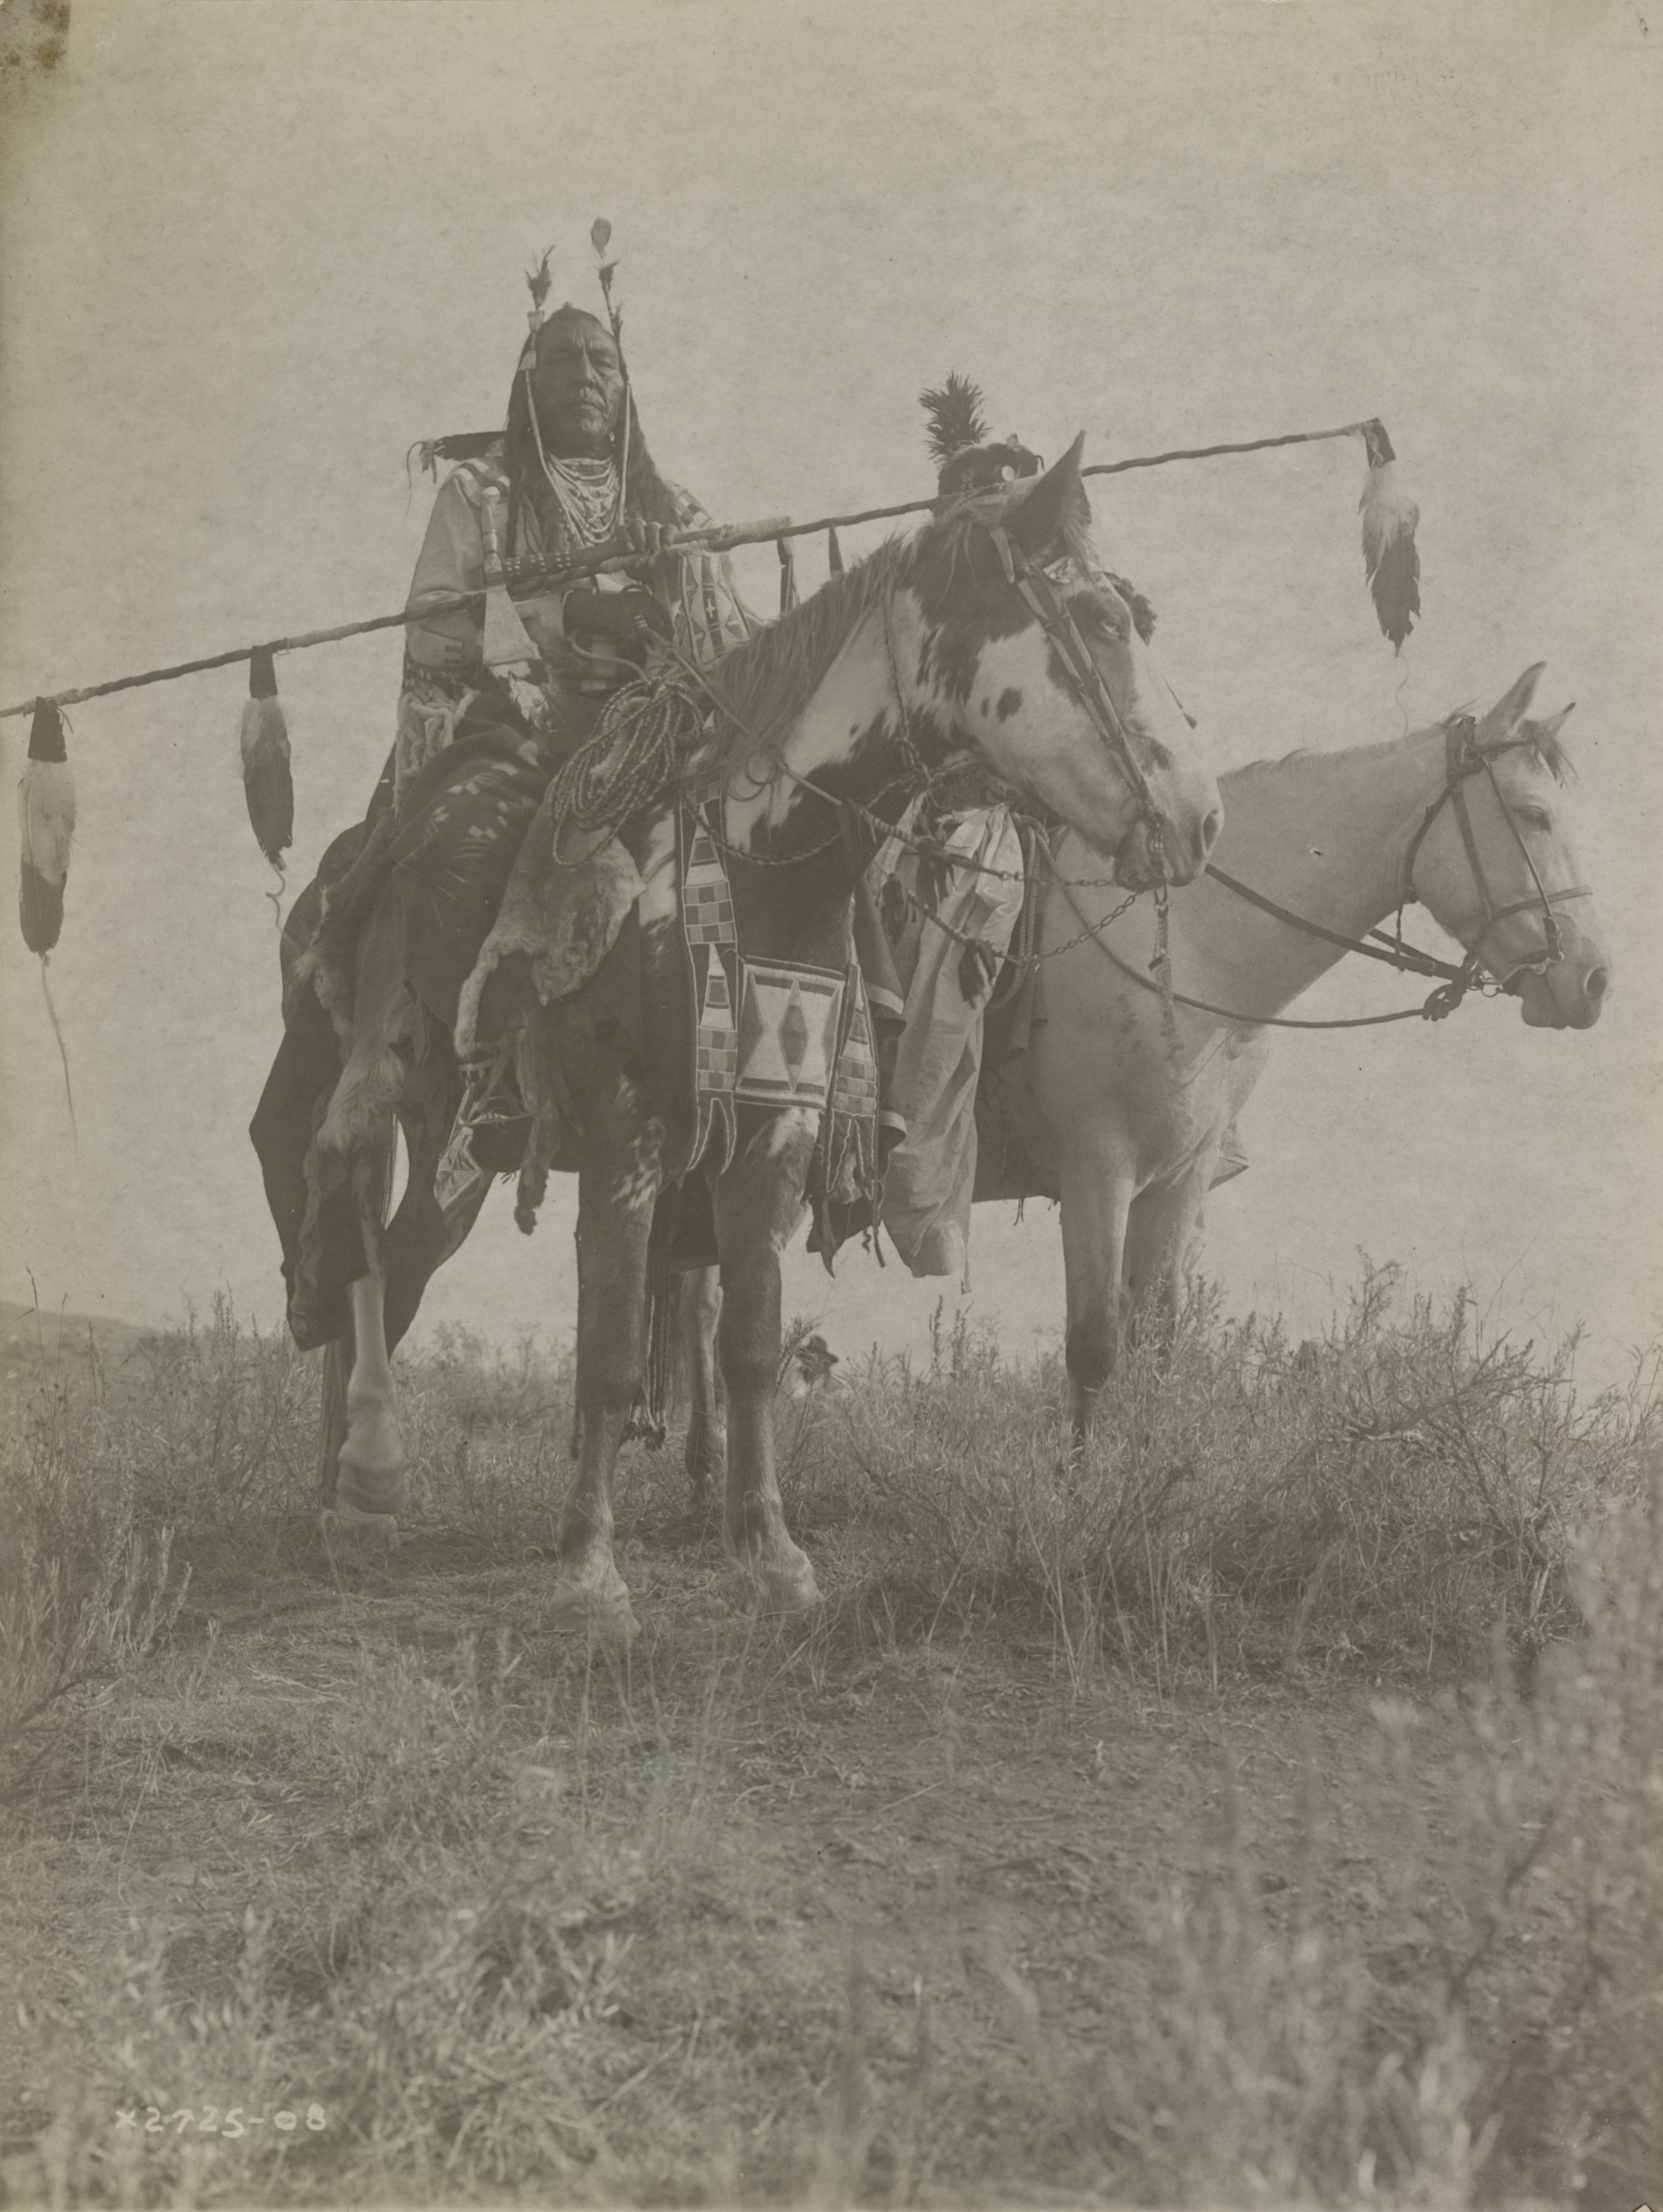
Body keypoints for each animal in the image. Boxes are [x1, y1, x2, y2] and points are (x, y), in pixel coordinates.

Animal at [283, 436, 1220, 1646]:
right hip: (398, 1080)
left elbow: (752, 1344)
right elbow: (607, 1353)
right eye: (1104, 618)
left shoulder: (774, 1133)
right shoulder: (628, 1133)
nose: (1199, 820)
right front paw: (591, 1572)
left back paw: (346, 1484)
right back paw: (367, 1467)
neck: (757, 863)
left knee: (389, 1267)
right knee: (350, 1216)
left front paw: (770, 1556)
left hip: (464, 1148)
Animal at [999, 664, 1610, 1442]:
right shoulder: (1096, 1162)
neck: (1184, 943)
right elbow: (1094, 1351)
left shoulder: (1179, 1175)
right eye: (1534, 814)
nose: (1594, 980)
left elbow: (1156, 1344)